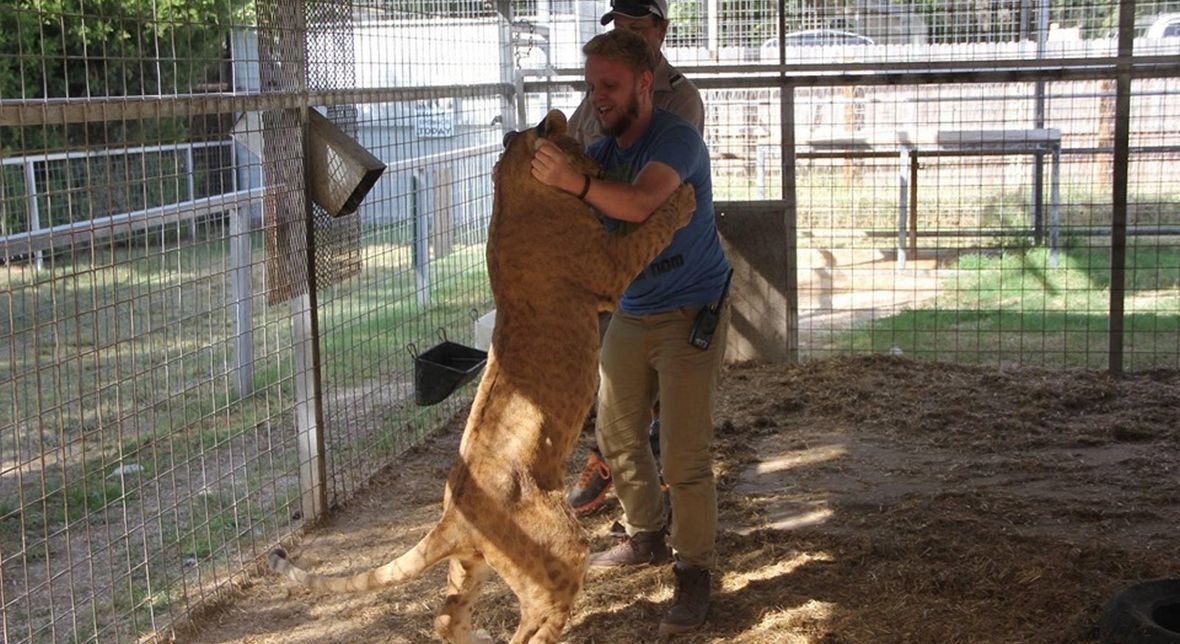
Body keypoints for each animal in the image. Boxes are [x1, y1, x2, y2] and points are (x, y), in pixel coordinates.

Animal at [270, 107, 689, 636]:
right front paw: (684, 196)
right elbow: (652, 228)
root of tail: (456, 514)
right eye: (583, 150)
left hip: (470, 561)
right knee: (532, 626)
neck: (510, 186)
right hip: (558, 553)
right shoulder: (611, 271)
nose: (605, 169)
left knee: (447, 618)